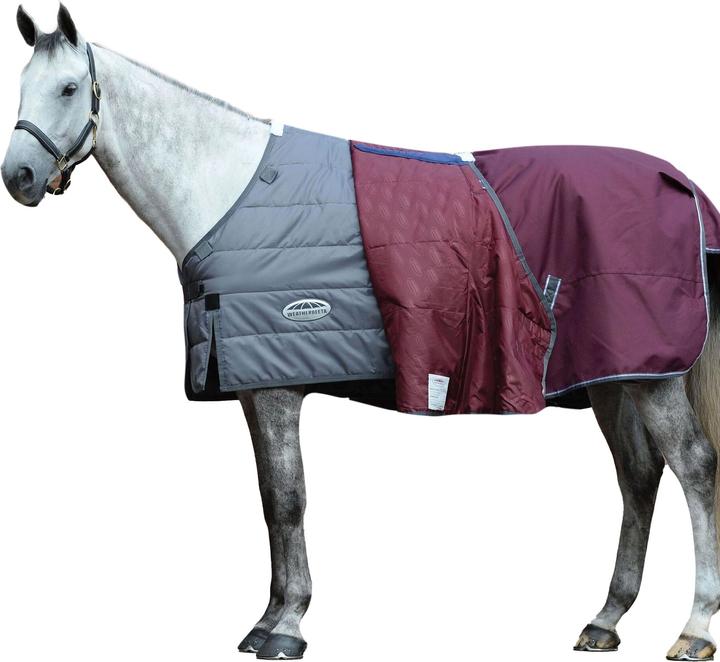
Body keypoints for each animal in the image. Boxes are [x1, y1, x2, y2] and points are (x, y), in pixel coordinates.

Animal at [3, 5, 720, 660]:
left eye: (68, 88)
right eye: (21, 86)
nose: (19, 179)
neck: (228, 192)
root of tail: (680, 184)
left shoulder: (278, 388)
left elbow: (288, 500)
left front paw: (287, 627)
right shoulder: (250, 385)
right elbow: (267, 499)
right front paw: (267, 620)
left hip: (650, 378)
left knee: (694, 468)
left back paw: (694, 629)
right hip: (612, 375)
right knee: (637, 475)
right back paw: (606, 618)